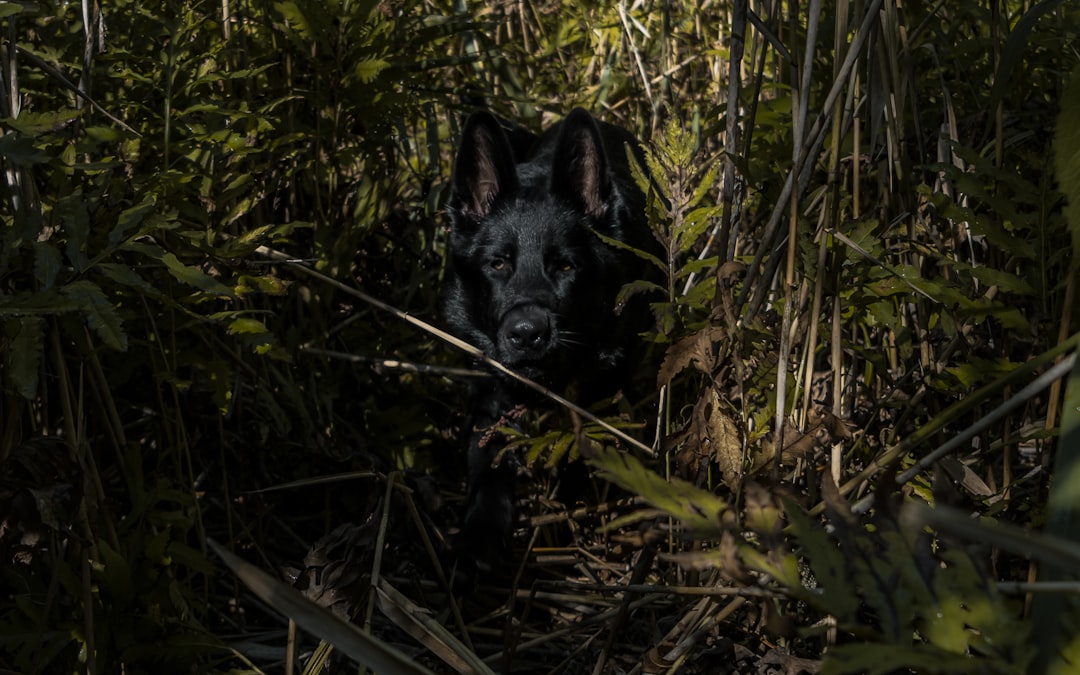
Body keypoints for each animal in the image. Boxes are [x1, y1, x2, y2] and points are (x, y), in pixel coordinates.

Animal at [444, 108, 652, 583]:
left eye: (566, 266)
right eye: (498, 263)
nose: (527, 333)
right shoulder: (490, 388)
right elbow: (485, 456)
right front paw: (482, 534)